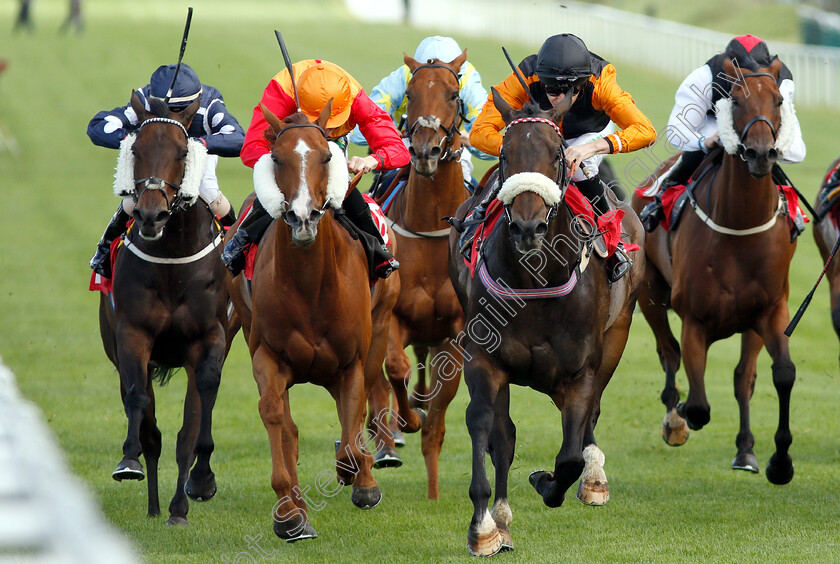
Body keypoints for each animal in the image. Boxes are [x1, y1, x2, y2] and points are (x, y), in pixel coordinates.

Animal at [98, 91, 230, 524]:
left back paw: (176, 506)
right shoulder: (132, 335)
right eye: (135, 149)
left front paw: (200, 481)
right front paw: (128, 461)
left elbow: (200, 406)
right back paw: (156, 504)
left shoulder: (209, 337)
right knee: (149, 427)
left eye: (181, 152)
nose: (151, 214)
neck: (172, 259)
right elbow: (138, 402)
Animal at [226, 102, 400, 540]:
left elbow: (353, 429)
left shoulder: (351, 361)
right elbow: (276, 418)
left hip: (380, 329)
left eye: (325, 157)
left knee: (359, 405)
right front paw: (289, 514)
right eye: (276, 158)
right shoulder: (267, 355)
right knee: (291, 426)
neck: (309, 287)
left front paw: (359, 477)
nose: (303, 218)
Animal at [452, 90, 644, 556]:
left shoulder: (581, 370)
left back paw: (593, 479)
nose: (527, 227)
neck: (534, 278)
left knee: (589, 420)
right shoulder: (485, 360)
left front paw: (548, 480)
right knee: (504, 435)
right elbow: (487, 427)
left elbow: (570, 457)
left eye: (557, 154)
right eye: (505, 155)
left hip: (618, 336)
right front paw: (485, 527)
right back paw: (501, 519)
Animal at [632, 59, 800, 486]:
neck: (739, 227)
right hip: (650, 295)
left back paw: (744, 449)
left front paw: (777, 461)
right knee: (669, 353)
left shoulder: (769, 312)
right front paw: (680, 417)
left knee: (743, 378)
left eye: (778, 100)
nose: (760, 153)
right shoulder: (695, 320)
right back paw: (673, 420)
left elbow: (778, 375)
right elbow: (698, 404)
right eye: (735, 100)